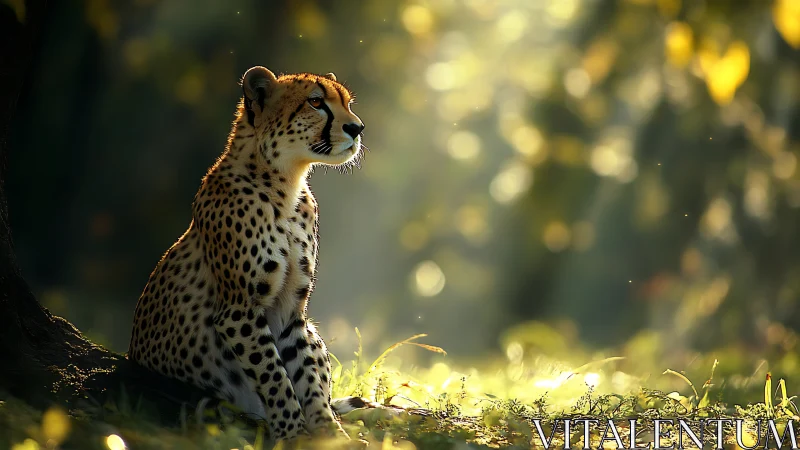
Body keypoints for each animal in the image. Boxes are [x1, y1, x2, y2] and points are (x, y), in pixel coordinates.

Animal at [128, 66, 382, 441]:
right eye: (316, 102)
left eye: (347, 103)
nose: (357, 128)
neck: (286, 184)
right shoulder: (239, 310)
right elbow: (274, 375)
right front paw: (292, 434)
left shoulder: (291, 311)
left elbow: (305, 375)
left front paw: (328, 434)